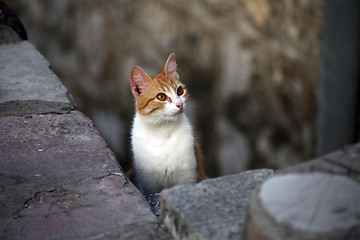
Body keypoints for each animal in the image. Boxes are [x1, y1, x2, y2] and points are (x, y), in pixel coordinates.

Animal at [129, 53, 208, 195]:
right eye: (161, 97)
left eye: (180, 90)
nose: (180, 104)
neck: (163, 130)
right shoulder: (149, 182)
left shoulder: (187, 175)